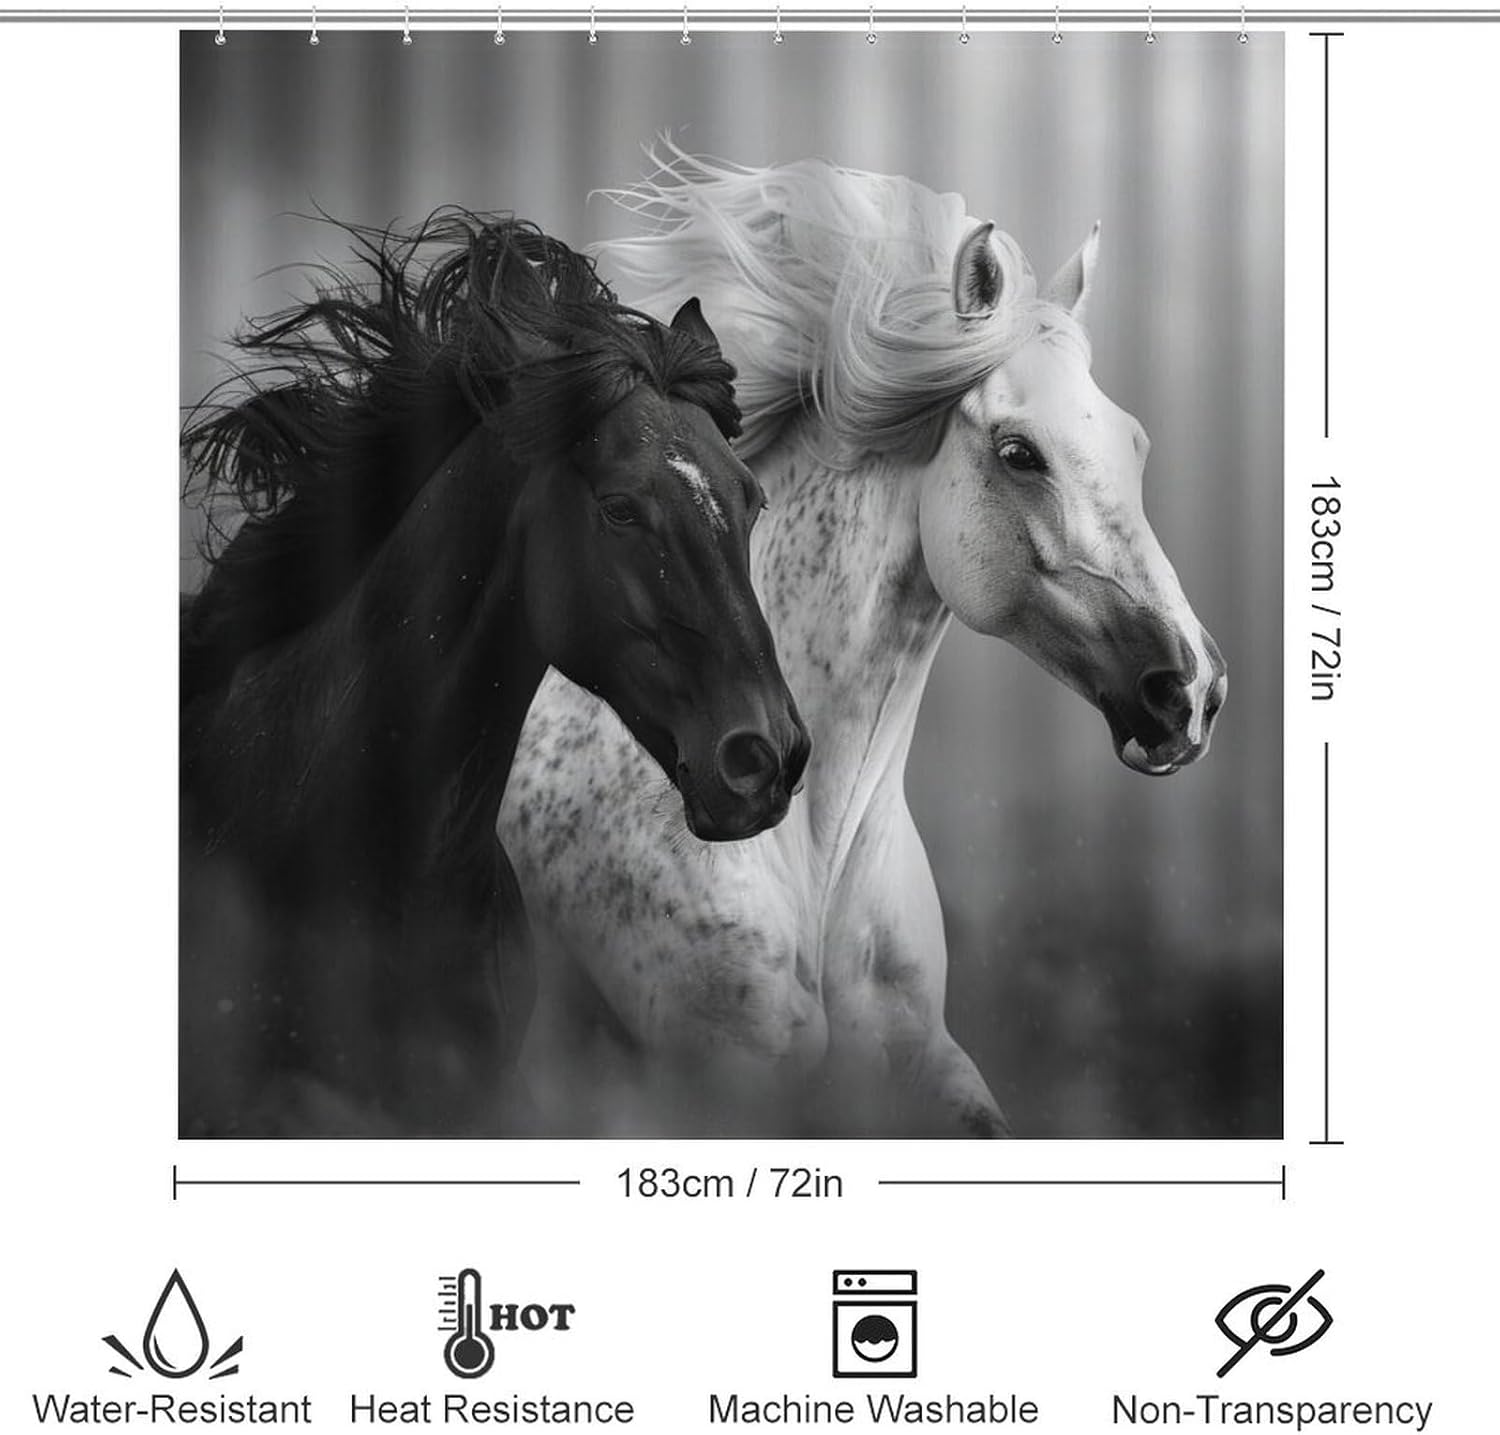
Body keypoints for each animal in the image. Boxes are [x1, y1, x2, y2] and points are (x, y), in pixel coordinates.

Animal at [498, 158, 1227, 1136]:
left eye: (1136, 444)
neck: (815, 849)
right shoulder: (719, 1083)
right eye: (1019, 452)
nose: (1191, 689)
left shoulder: (922, 1065)